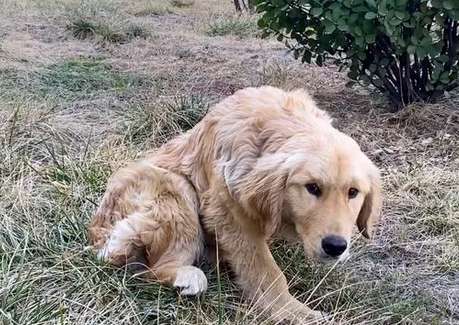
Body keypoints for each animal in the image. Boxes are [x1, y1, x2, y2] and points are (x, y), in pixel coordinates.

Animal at [88, 85, 382, 322]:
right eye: (313, 188)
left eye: (353, 192)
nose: (335, 246)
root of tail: (97, 230)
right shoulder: (229, 213)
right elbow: (266, 270)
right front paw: (293, 311)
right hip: (178, 194)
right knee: (155, 269)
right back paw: (189, 277)